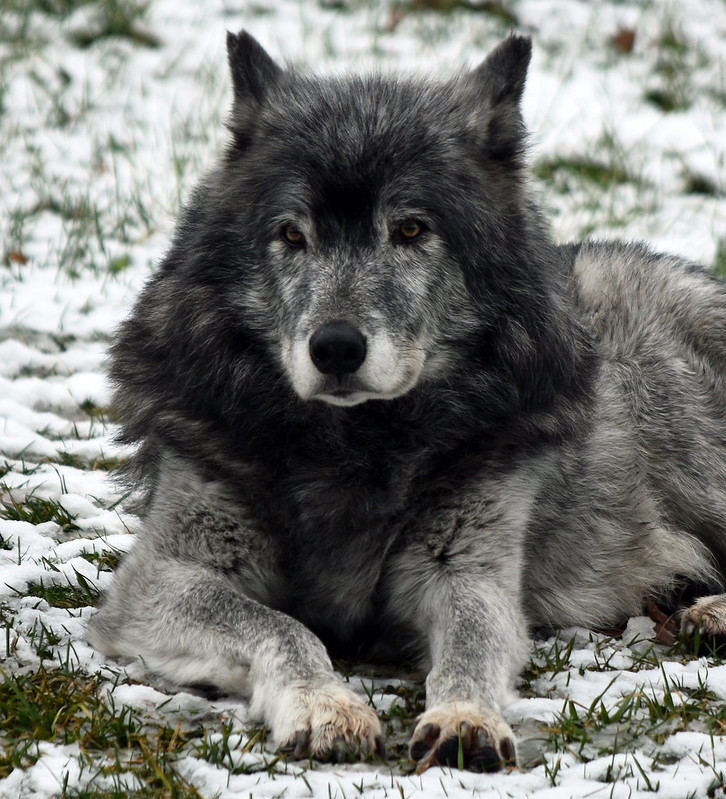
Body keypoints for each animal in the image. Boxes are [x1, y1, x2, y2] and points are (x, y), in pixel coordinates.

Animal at [88, 32, 726, 776]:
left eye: (413, 230)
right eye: (292, 234)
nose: (336, 347)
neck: (355, 445)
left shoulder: (466, 571)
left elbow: (469, 649)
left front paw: (465, 718)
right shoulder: (162, 576)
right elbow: (284, 626)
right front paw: (324, 706)